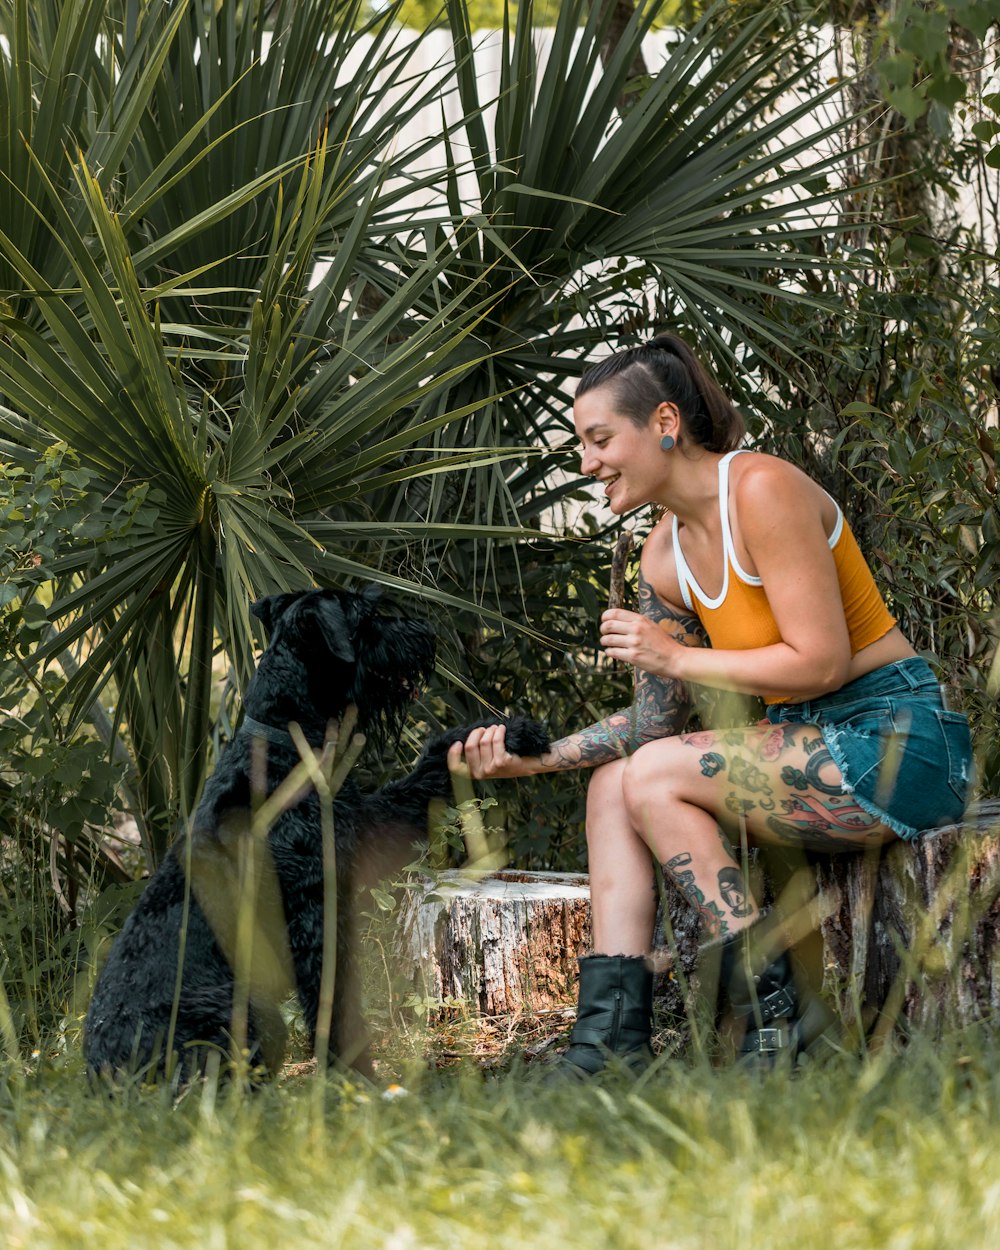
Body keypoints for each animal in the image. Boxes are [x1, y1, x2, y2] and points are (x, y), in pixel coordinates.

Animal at [86, 587, 550, 1085]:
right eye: (368, 616)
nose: (425, 632)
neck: (286, 746)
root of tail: (100, 1073)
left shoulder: (367, 823)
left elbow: (428, 769)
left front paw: (505, 733)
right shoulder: (316, 914)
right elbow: (335, 1002)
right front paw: (357, 1077)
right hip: (240, 1013)